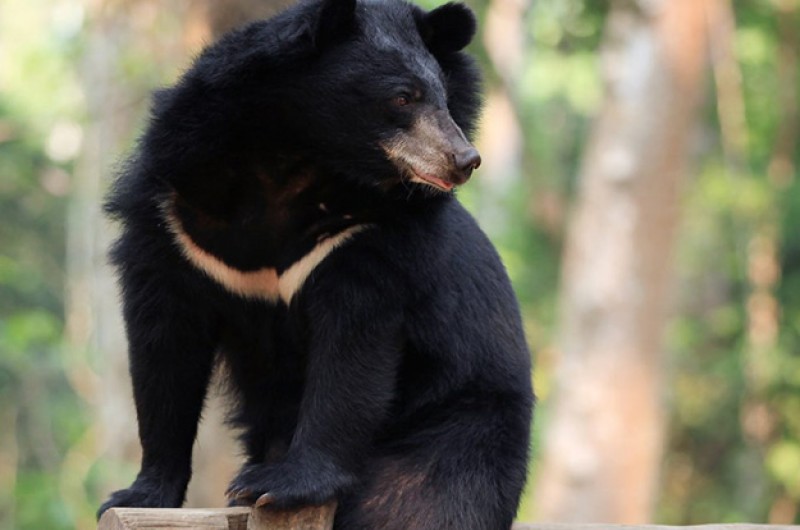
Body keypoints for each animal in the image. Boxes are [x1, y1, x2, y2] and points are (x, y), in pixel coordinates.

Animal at [101, 0, 536, 524]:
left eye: (445, 98)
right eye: (402, 97)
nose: (465, 159)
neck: (291, 159)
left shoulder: (364, 237)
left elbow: (350, 357)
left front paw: (275, 485)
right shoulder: (174, 227)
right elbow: (164, 353)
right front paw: (136, 494)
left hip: (456, 429)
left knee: (422, 505)